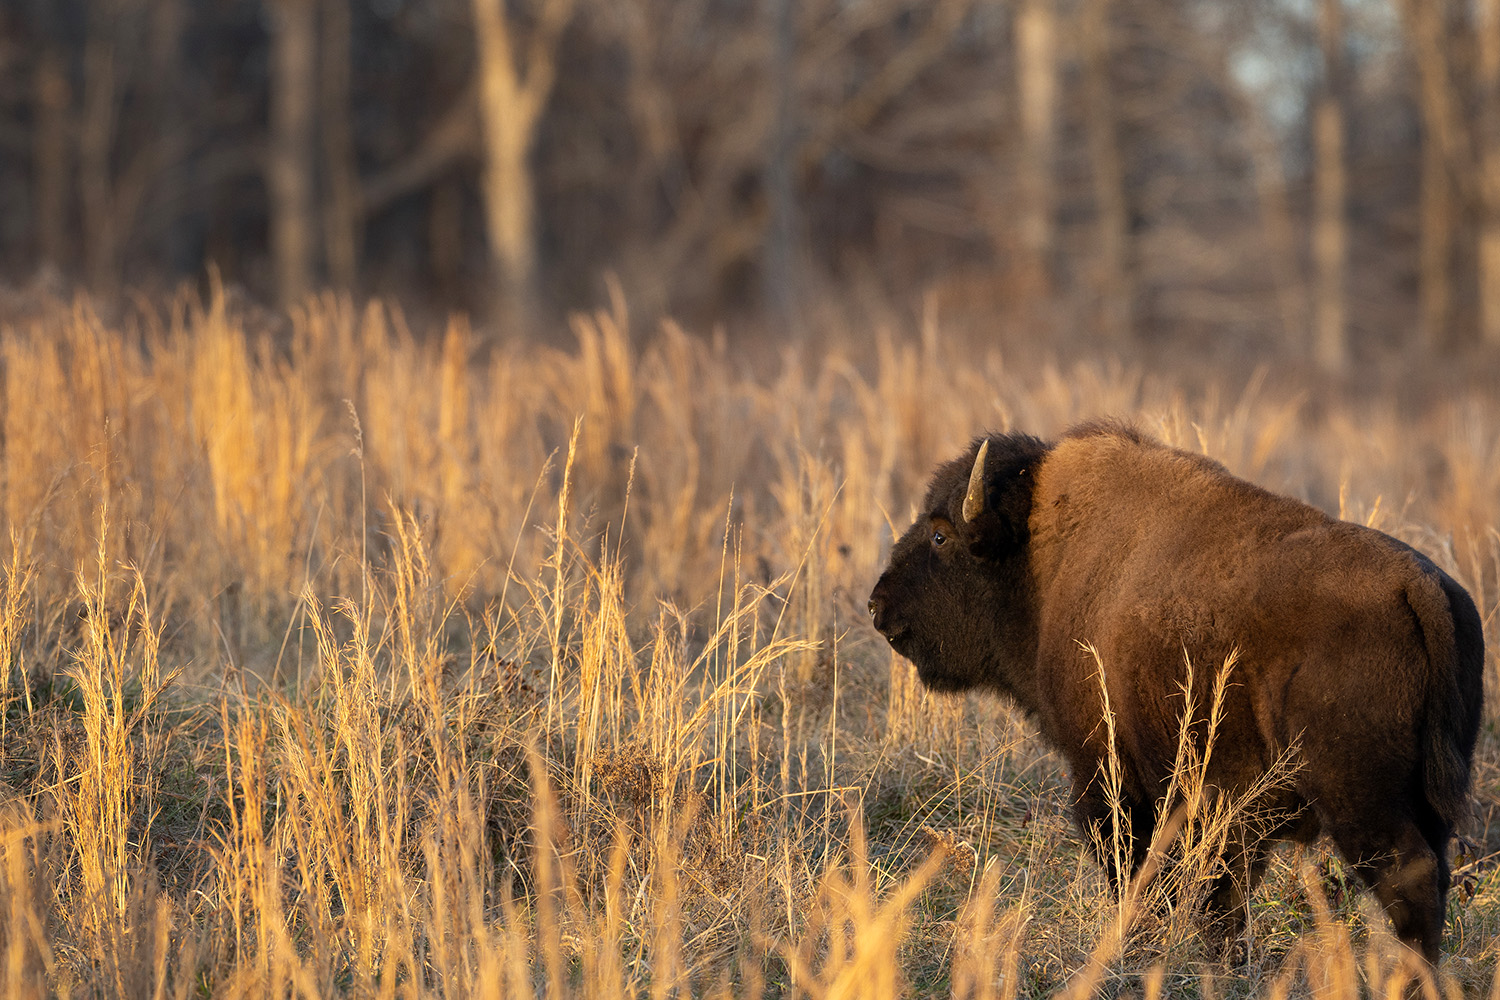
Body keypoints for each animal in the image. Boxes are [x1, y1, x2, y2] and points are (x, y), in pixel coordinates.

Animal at [867, 422, 1484, 963]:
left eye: (941, 534)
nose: (877, 604)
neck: (1040, 561)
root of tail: (1419, 585)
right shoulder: (1227, 807)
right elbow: (1223, 895)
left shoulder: (1108, 775)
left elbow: (1135, 871)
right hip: (1427, 799)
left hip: (1362, 799)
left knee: (1409, 878)